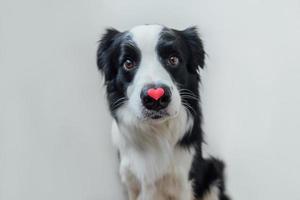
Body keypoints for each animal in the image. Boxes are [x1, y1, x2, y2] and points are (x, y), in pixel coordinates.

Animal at [97, 24, 229, 200]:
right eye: (128, 63)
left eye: (173, 59)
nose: (156, 98)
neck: (156, 132)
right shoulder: (131, 181)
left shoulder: (183, 182)